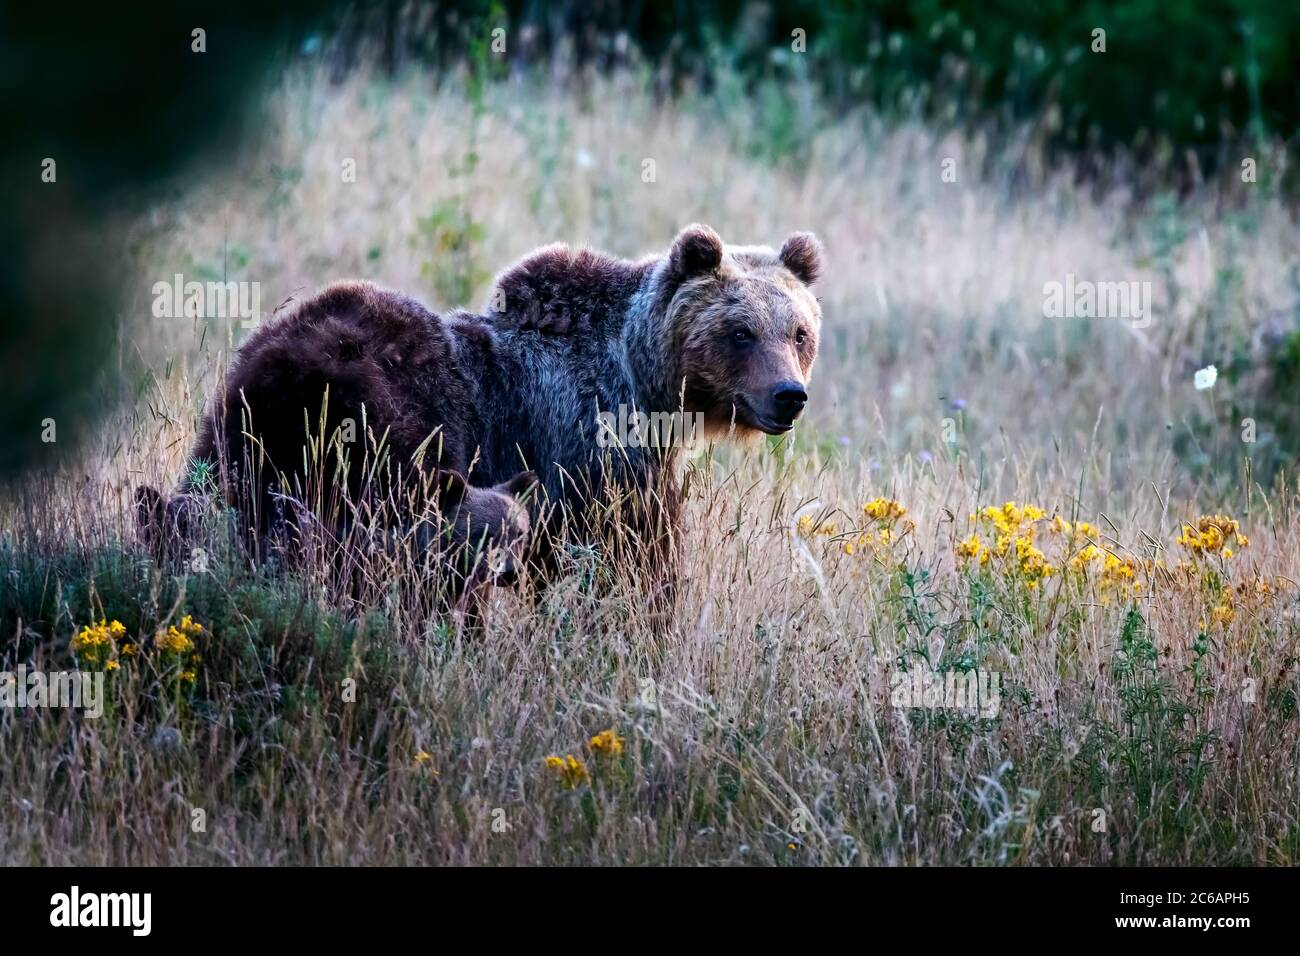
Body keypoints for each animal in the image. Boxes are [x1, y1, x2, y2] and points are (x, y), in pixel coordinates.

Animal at [154, 222, 821, 598]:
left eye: (799, 332)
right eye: (740, 331)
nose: (788, 395)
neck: (645, 380)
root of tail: (286, 360)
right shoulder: (589, 445)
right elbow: (624, 555)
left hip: (243, 423)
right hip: (387, 426)